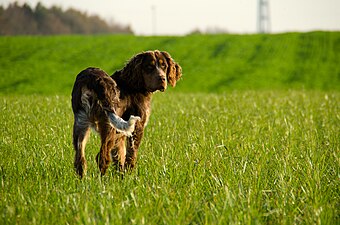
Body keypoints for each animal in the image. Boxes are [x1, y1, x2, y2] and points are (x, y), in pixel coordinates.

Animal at [70, 49, 182, 178]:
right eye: (149, 67)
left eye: (164, 66)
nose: (162, 79)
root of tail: (92, 80)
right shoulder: (137, 127)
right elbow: (131, 156)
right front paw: (130, 177)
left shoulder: (120, 135)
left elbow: (120, 157)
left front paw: (121, 177)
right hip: (109, 126)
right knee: (102, 157)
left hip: (81, 124)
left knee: (80, 160)